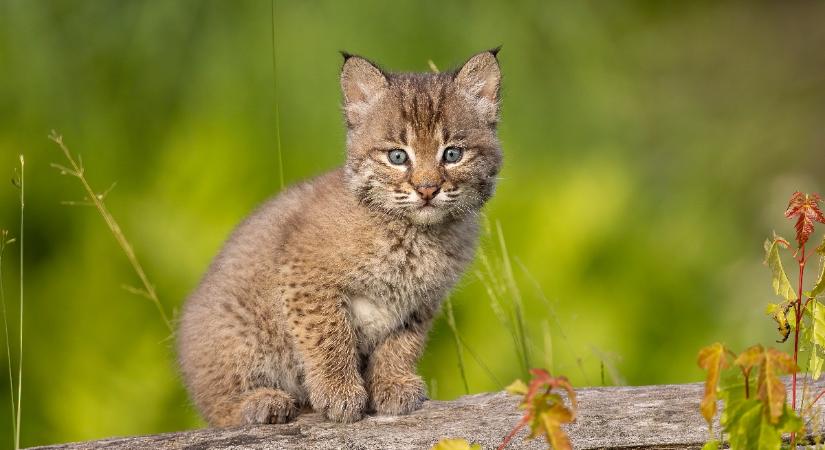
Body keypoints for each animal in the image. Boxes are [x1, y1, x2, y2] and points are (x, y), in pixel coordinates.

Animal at [178, 49, 502, 426]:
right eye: (397, 156)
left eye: (452, 154)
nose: (427, 189)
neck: (416, 233)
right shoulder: (305, 275)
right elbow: (328, 335)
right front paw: (339, 393)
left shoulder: (421, 301)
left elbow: (401, 345)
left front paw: (391, 385)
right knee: (216, 408)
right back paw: (260, 403)